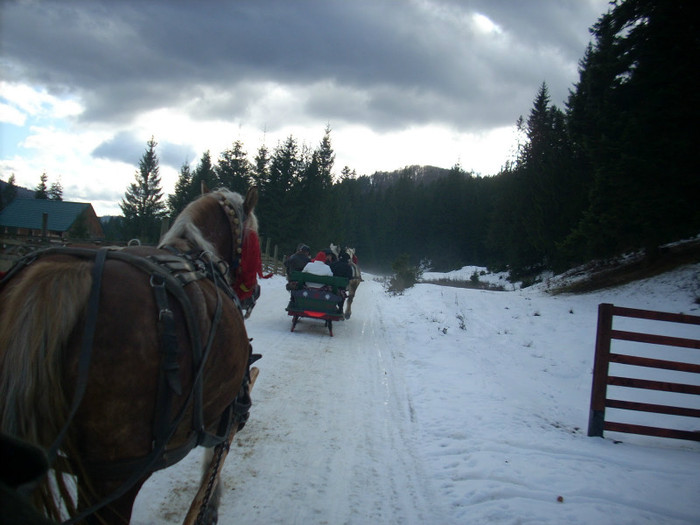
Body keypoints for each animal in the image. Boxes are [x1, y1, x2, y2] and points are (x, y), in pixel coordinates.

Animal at [0, 186, 262, 520]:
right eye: (254, 237)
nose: (254, 293)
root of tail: (63, 271)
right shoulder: (226, 411)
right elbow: (213, 463)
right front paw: (209, 507)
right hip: (117, 475)